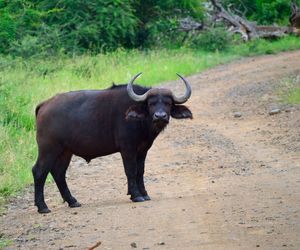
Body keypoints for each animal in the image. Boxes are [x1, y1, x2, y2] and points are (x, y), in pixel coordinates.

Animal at [32, 72, 192, 213]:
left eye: (168, 103)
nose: (160, 116)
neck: (140, 120)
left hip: (66, 151)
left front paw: (144, 193)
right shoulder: (127, 148)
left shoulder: (143, 149)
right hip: (48, 149)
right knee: (39, 171)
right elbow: (131, 170)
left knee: (58, 173)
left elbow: (140, 171)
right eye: (151, 103)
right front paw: (136, 195)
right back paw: (43, 207)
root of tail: (44, 104)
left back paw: (72, 201)